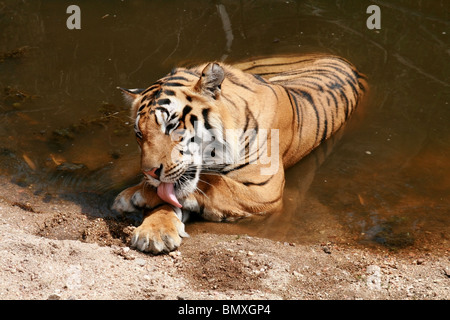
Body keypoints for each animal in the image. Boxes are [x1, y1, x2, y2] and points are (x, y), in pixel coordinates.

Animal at [111, 53, 366, 254]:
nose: (149, 173)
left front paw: (135, 195)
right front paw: (154, 231)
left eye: (172, 126)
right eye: (139, 134)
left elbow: (215, 184)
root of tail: (335, 56)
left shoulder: (265, 191)